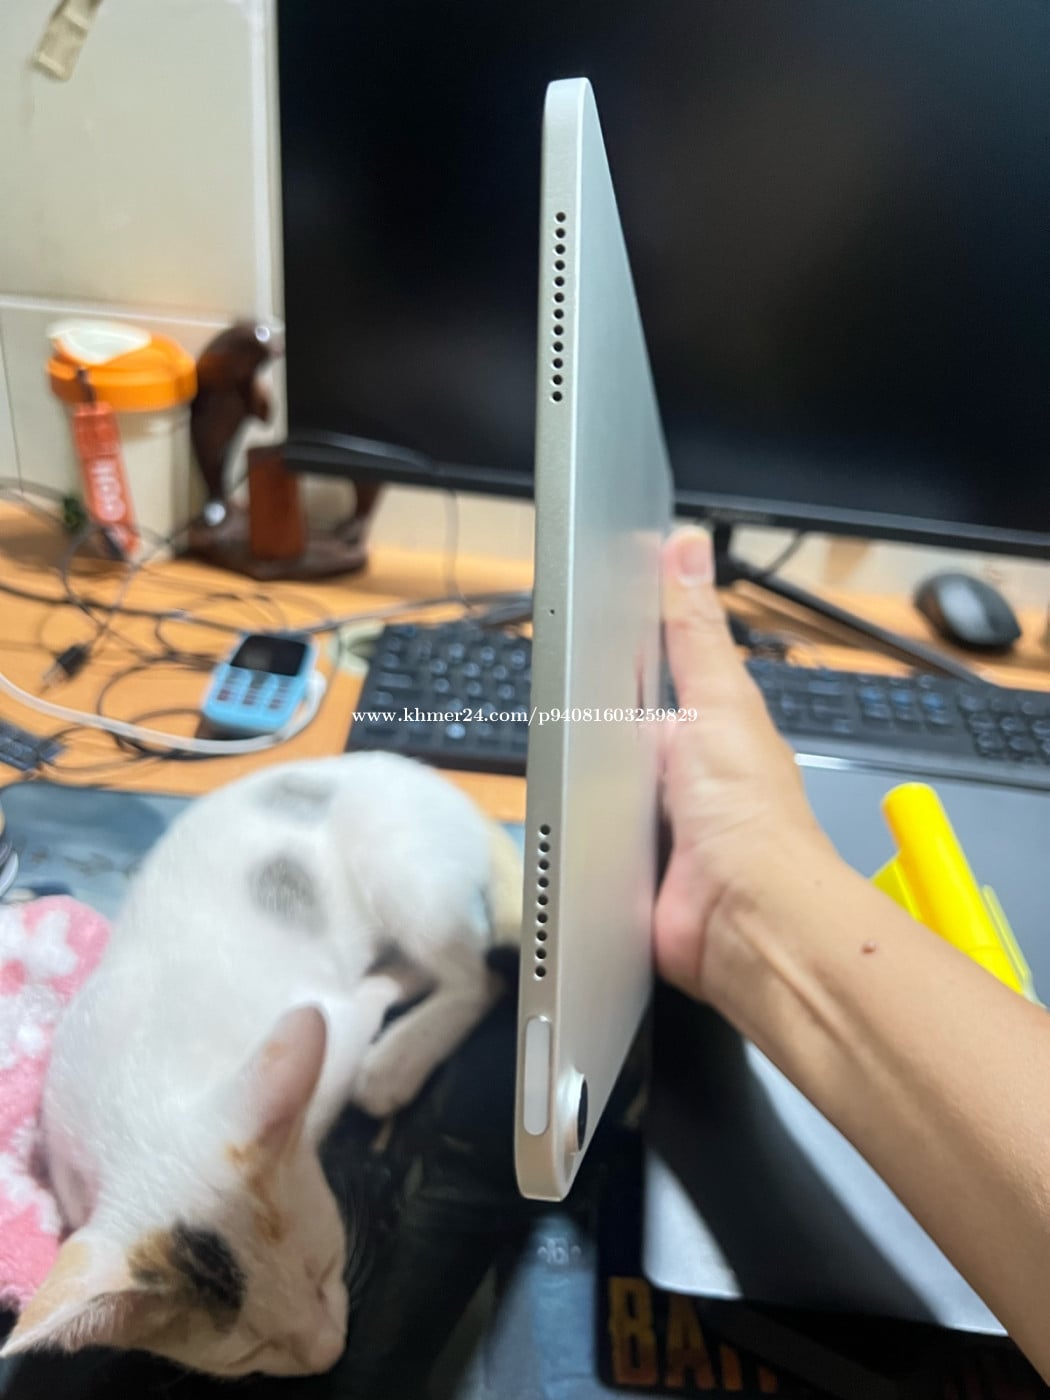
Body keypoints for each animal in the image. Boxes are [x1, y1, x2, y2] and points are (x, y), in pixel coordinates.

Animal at [0, 752, 523, 1378]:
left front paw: (381, 999)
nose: (329, 1355)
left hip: (403, 872)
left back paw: (397, 1056)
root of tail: (427, 776)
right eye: (254, 1352)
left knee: (479, 973)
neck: (140, 1105)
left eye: (324, 1269)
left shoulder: (324, 1017)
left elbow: (351, 1009)